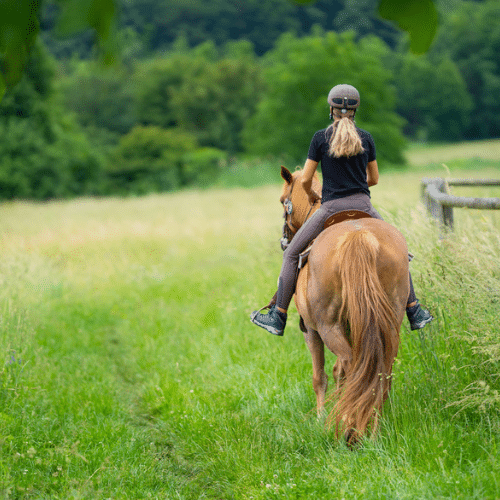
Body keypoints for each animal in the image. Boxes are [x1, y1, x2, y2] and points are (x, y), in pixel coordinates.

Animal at [280, 166, 408, 444]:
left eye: (283, 201)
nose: (284, 241)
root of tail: (358, 236)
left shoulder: (311, 331)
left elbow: (321, 376)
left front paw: (321, 418)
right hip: (389, 322)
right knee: (379, 369)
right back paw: (372, 425)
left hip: (329, 327)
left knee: (350, 367)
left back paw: (349, 427)